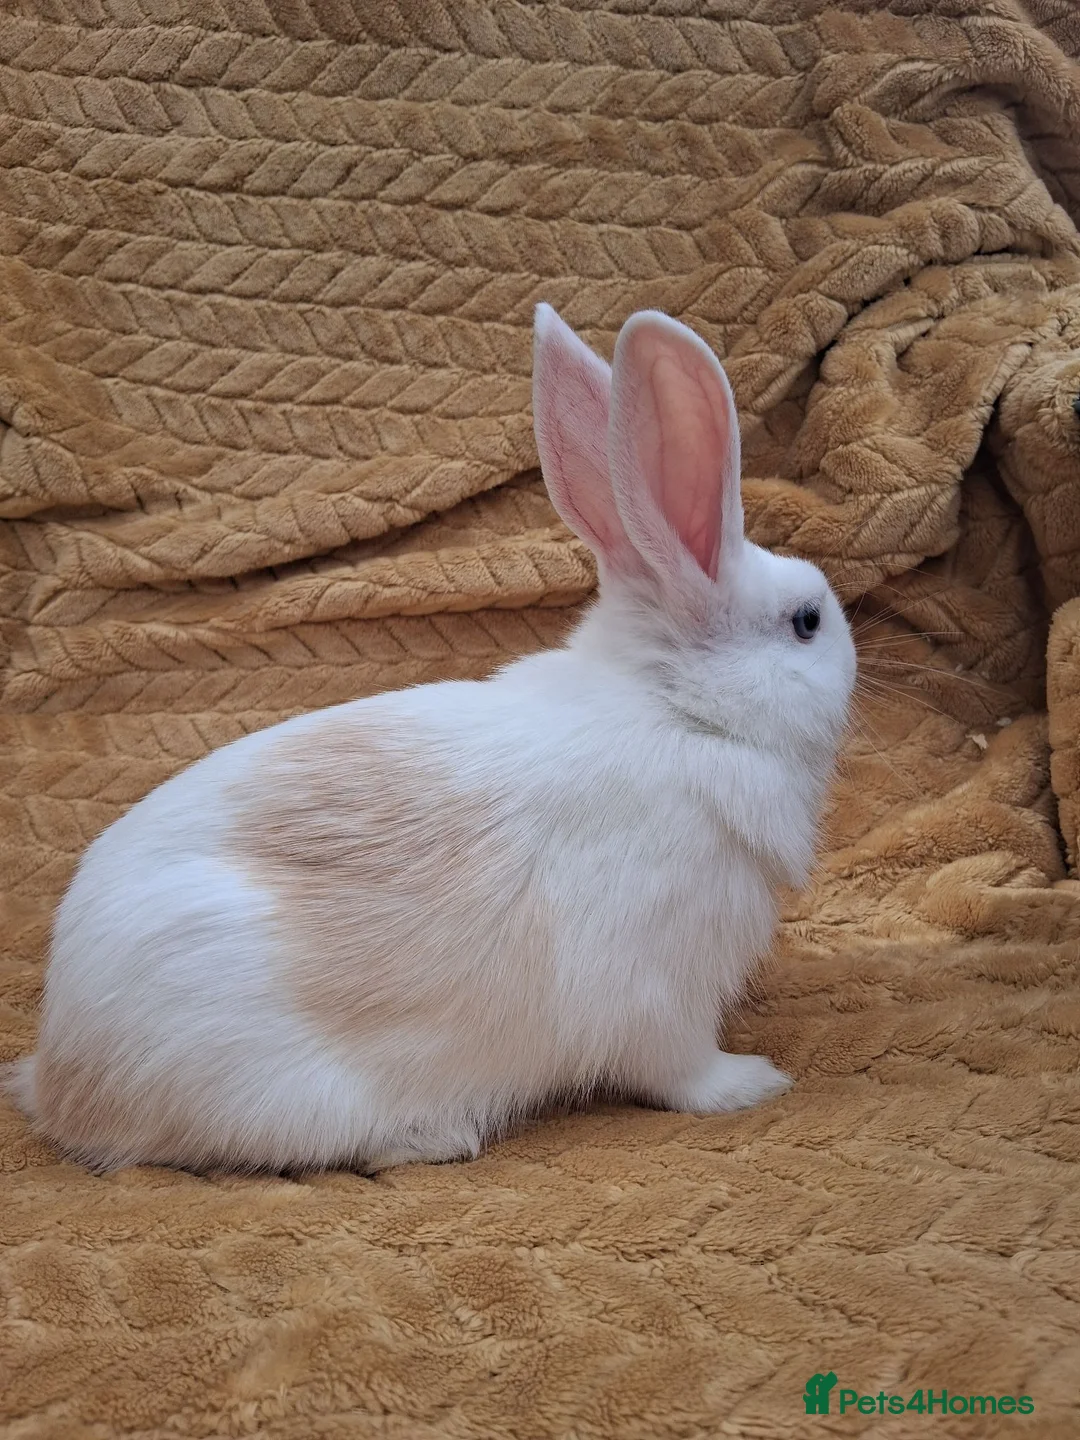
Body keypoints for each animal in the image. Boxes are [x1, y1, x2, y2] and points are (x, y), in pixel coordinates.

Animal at [5, 306, 856, 1175]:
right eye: (807, 622)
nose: (852, 649)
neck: (679, 710)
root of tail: (66, 1080)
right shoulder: (660, 991)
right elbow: (681, 1071)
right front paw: (753, 1083)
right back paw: (434, 1135)